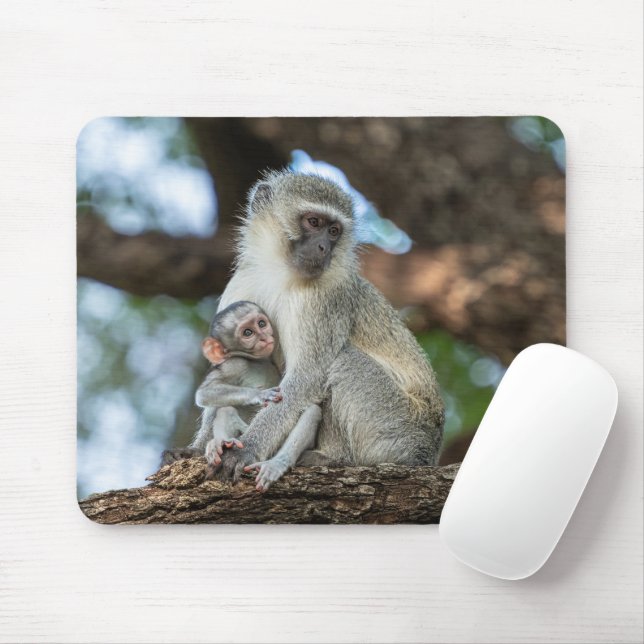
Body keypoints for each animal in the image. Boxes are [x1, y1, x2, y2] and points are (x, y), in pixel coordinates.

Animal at [212, 171, 445, 483]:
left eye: (334, 231)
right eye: (314, 222)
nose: (323, 247)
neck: (280, 272)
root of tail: (429, 453)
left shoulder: (326, 298)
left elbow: (307, 377)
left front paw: (245, 449)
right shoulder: (242, 283)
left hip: (398, 428)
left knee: (344, 361)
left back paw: (332, 457)